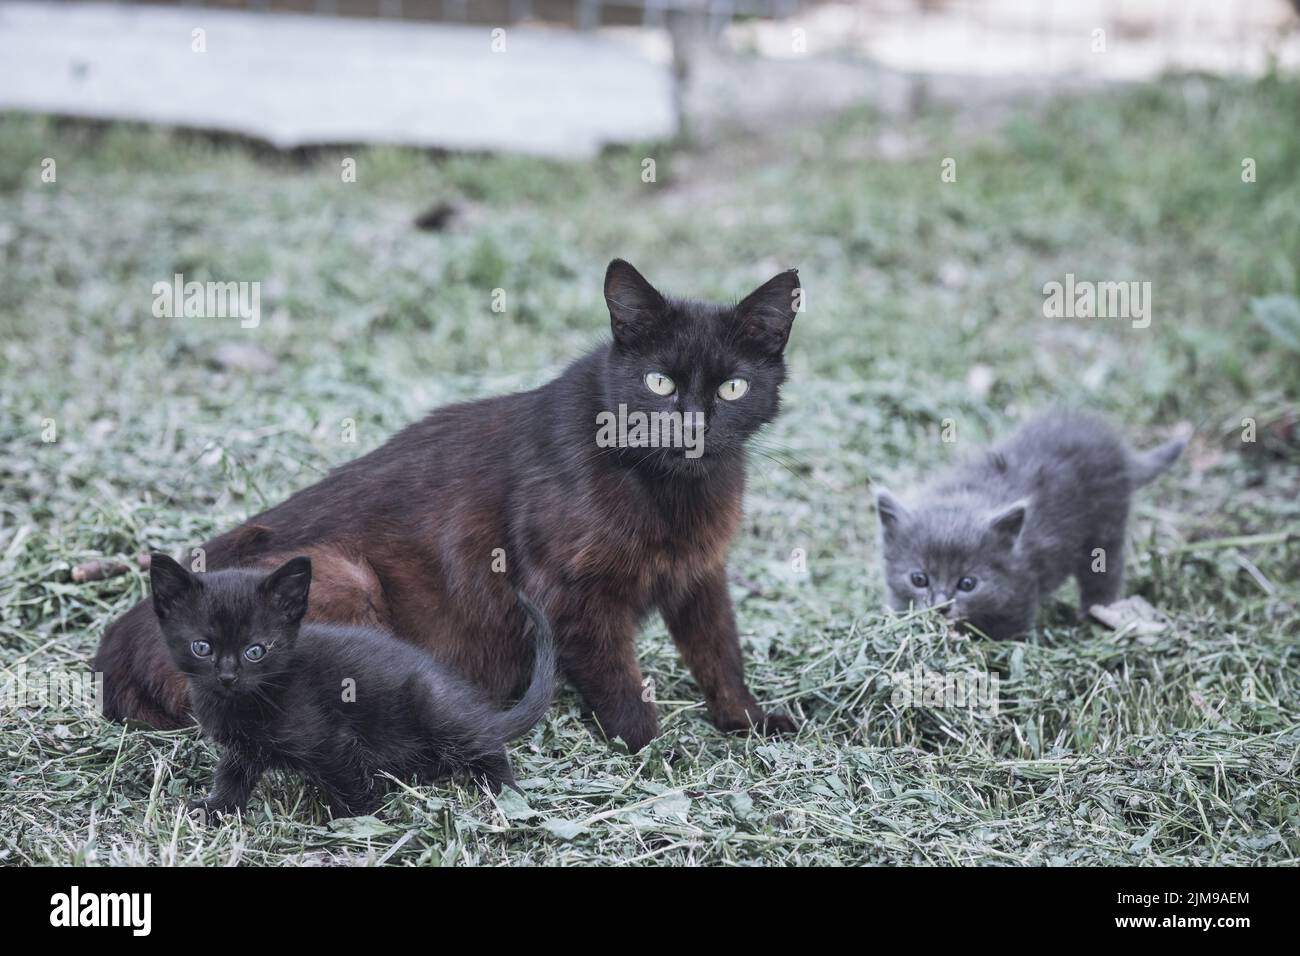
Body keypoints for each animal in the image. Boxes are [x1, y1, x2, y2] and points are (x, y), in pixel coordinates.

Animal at [149, 556, 556, 816]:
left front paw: (356, 821)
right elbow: (232, 774)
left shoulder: (333, 740)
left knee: (485, 744)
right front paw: (215, 808)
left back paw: (502, 791)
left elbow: (346, 780)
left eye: (255, 650)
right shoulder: (244, 747)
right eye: (202, 647)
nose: (227, 676)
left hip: (434, 705)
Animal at [873, 413, 1190, 642]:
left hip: (1105, 530)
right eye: (919, 579)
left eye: (967, 584)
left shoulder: (1021, 592)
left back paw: (1097, 613)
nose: (940, 606)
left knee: (1105, 575)